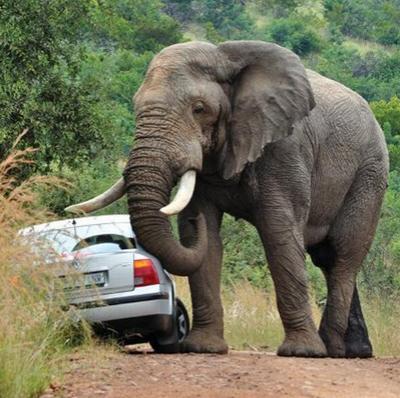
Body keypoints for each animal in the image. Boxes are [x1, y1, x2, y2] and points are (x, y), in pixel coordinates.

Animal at [67, 39, 390, 358]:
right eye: (135, 106)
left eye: (199, 109)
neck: (224, 57)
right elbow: (205, 238)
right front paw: (203, 348)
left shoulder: (285, 148)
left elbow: (279, 233)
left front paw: (302, 352)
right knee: (326, 257)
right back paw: (355, 351)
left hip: (369, 173)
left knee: (344, 253)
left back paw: (331, 349)